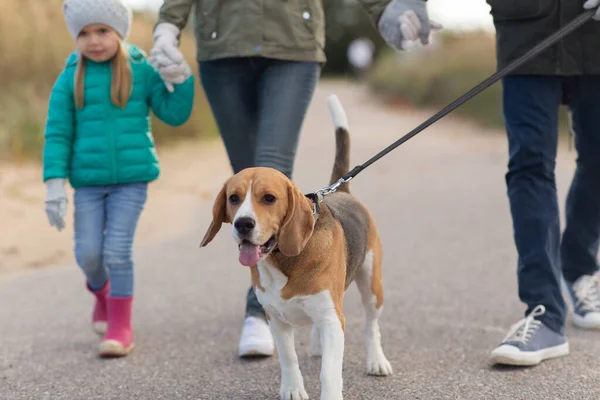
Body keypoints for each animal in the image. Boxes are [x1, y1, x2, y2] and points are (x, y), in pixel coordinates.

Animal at [199, 94, 392, 400]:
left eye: (268, 198)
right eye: (233, 198)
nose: (243, 224)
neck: (283, 262)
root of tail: (342, 190)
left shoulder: (331, 319)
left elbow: (329, 372)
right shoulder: (276, 319)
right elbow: (289, 358)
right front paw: (292, 389)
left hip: (373, 286)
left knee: (371, 326)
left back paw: (376, 361)